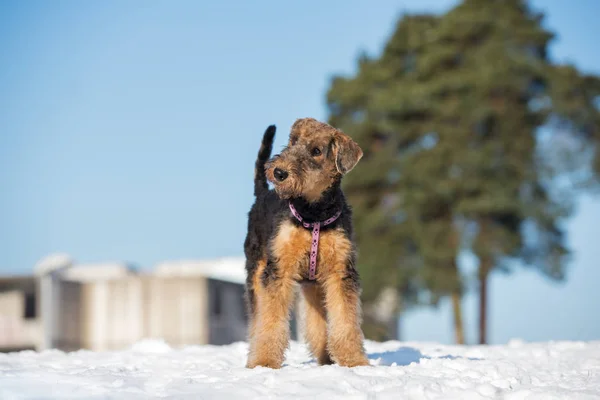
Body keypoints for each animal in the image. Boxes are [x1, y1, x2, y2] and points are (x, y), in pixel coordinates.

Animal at [245, 118, 370, 368]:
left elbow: (345, 320)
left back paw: (326, 358)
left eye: (316, 151)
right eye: (293, 141)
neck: (314, 213)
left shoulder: (340, 272)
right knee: (257, 319)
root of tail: (262, 193)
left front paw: (354, 361)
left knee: (318, 324)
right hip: (256, 272)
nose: (279, 172)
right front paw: (264, 361)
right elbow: (271, 320)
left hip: (315, 286)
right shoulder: (279, 270)